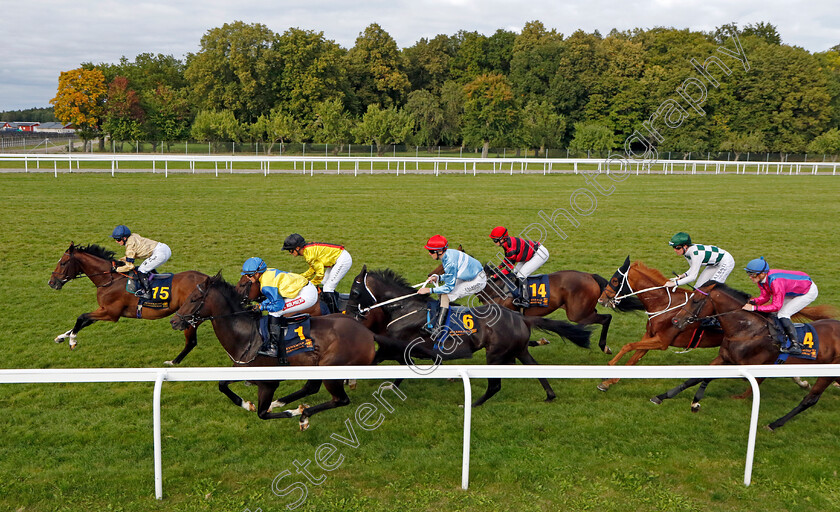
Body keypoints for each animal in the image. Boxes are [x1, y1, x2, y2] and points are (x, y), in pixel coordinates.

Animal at [48, 243, 208, 364]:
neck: (110, 279)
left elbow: (81, 317)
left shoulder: (111, 313)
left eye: (63, 263)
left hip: (190, 317)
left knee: (191, 342)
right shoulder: (104, 309)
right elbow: (85, 321)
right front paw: (61, 337)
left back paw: (173, 362)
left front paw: (72, 342)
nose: (51, 283)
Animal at [171, 274, 400, 430]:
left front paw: (293, 411)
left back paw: (304, 414)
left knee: (340, 400)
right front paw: (246, 404)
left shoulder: (268, 382)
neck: (247, 334)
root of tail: (368, 333)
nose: (174, 321)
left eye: (194, 298)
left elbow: (262, 414)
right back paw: (285, 404)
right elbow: (222, 385)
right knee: (312, 388)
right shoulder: (243, 370)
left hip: (331, 368)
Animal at [342, 266, 592, 406]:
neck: (405, 307)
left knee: (495, 386)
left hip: (495, 354)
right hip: (520, 350)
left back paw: (473, 404)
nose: (351, 313)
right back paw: (549, 395)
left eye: (355, 291)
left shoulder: (398, 347)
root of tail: (520, 318)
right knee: (536, 369)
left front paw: (351, 380)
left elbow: (378, 361)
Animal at [592, 256, 724, 392]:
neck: (663, 303)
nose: (601, 299)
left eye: (614, 280)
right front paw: (608, 382)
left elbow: (628, 346)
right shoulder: (650, 336)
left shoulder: (662, 341)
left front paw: (609, 366)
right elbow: (634, 357)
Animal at [656, 282, 840, 430]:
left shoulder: (745, 368)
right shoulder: (724, 358)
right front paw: (664, 396)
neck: (747, 330)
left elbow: (709, 377)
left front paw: (696, 402)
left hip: (828, 373)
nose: (675, 321)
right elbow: (696, 377)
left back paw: (774, 424)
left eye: (695, 301)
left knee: (810, 399)